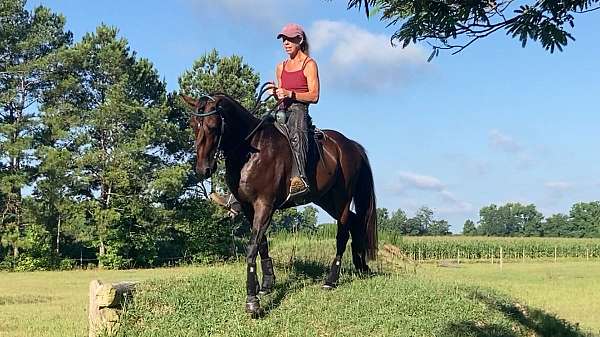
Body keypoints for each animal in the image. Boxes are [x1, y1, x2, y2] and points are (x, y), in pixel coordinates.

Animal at [182, 92, 376, 316]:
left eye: (213, 125)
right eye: (193, 124)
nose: (202, 169)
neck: (253, 150)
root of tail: (351, 145)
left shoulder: (265, 205)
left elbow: (252, 247)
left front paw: (252, 300)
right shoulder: (249, 207)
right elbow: (262, 243)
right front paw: (267, 284)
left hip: (341, 198)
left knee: (343, 232)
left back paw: (331, 279)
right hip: (324, 198)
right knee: (354, 221)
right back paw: (361, 266)